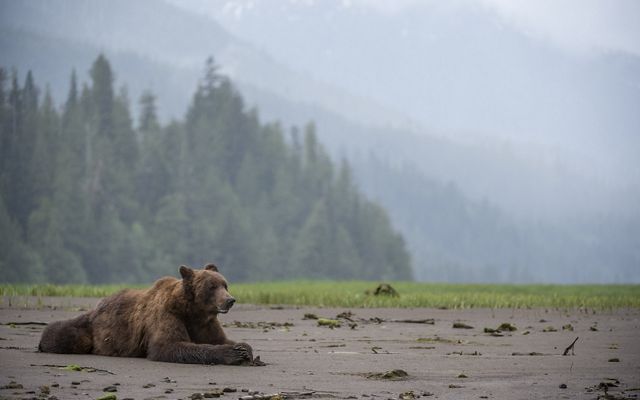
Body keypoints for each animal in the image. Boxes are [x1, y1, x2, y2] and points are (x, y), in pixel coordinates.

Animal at [38, 263, 254, 365]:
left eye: (225, 284)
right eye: (211, 286)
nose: (230, 300)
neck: (193, 311)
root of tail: (98, 306)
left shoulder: (205, 323)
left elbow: (219, 339)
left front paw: (245, 349)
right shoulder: (167, 315)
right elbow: (169, 345)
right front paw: (233, 354)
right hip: (89, 328)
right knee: (64, 334)